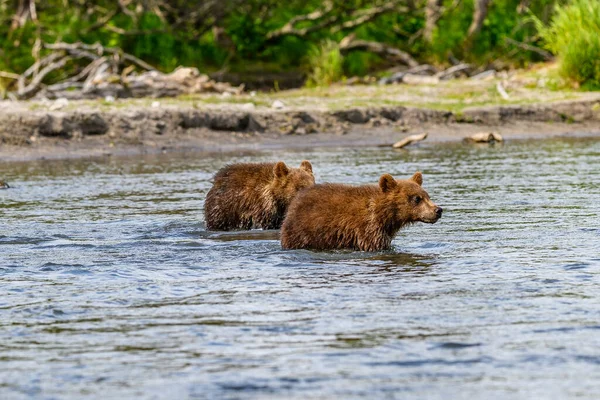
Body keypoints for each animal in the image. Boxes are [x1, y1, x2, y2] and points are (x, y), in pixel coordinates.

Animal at [280, 171, 440, 252]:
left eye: (427, 196)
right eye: (417, 198)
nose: (438, 210)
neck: (384, 215)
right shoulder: (367, 228)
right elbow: (375, 245)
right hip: (303, 231)